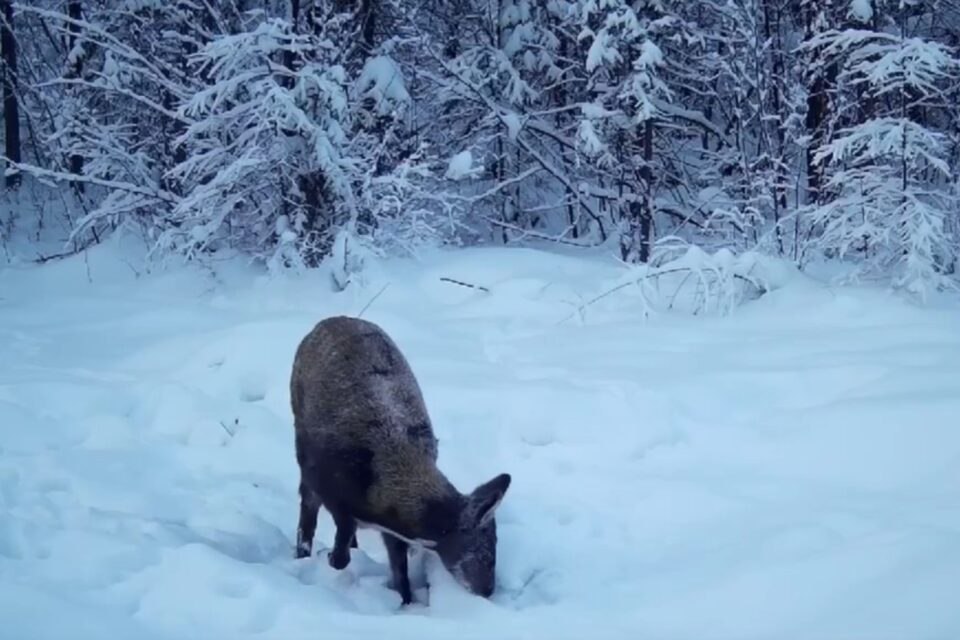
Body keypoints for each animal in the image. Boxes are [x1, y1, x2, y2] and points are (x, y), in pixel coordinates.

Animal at [288, 316, 510, 604]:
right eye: (485, 552)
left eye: (493, 547)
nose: (487, 591)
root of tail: (325, 322)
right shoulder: (326, 484)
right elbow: (339, 551)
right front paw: (326, 558)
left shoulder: (391, 531)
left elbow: (399, 568)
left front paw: (405, 601)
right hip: (300, 436)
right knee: (306, 506)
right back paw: (302, 555)